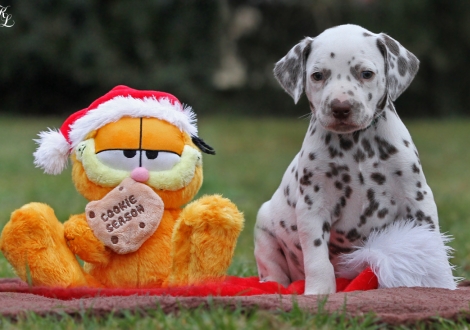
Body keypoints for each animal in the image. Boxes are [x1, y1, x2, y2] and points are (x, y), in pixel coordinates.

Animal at [253, 24, 448, 296]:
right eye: (317, 75)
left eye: (366, 73)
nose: (340, 107)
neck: (356, 145)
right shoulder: (313, 207)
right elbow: (317, 257)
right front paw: (319, 292)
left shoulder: (418, 198)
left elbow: (431, 242)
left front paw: (442, 283)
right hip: (264, 230)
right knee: (273, 270)